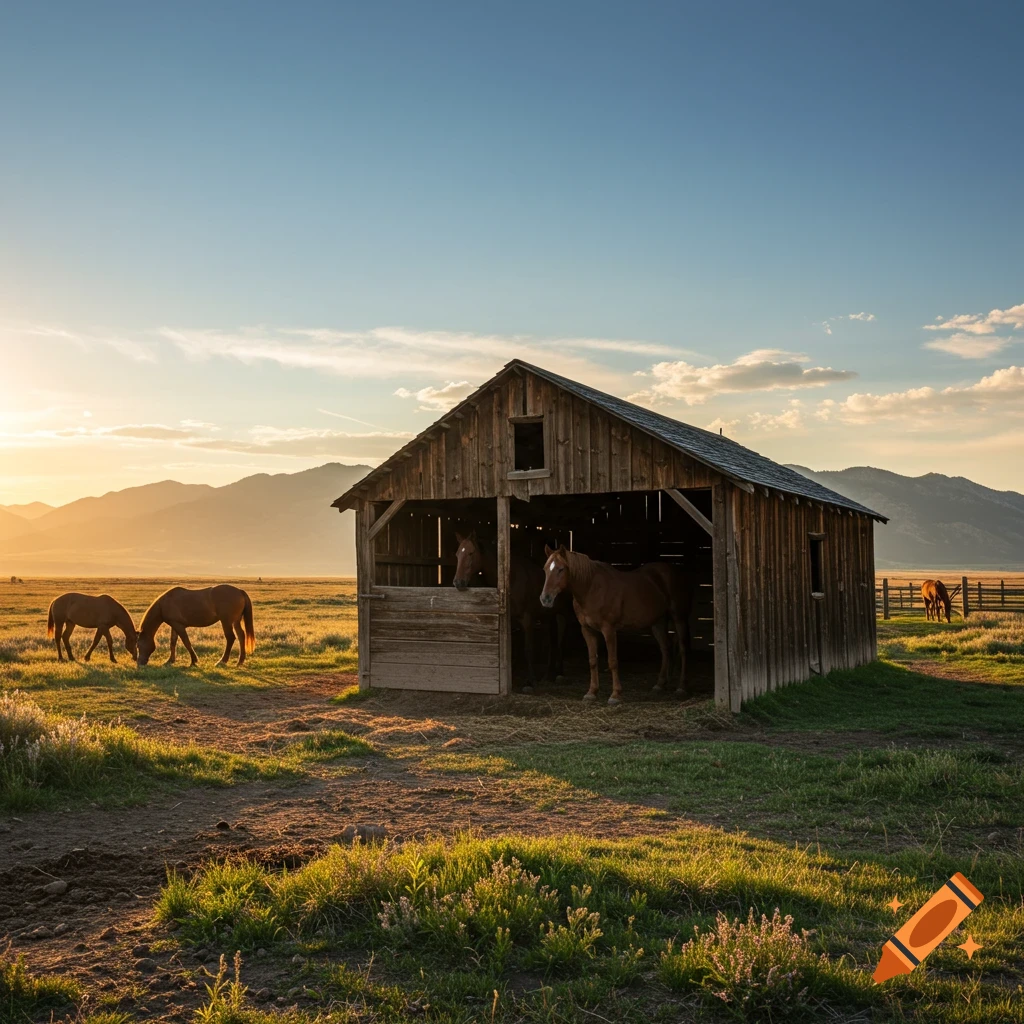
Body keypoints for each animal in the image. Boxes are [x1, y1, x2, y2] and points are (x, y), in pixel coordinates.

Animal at [452, 529, 567, 690]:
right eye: (457, 554)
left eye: (471, 553)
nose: (458, 582)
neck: (512, 578)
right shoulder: (511, 621)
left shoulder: (527, 619)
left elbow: (528, 649)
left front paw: (530, 681)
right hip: (547, 616)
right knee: (551, 641)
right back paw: (547, 675)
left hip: (561, 614)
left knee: (561, 639)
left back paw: (559, 673)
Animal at [540, 546, 692, 705]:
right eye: (545, 569)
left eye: (561, 569)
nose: (545, 599)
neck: (591, 588)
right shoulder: (587, 630)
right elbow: (592, 660)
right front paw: (591, 692)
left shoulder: (609, 630)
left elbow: (612, 661)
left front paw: (615, 695)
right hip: (658, 622)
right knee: (665, 648)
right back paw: (660, 685)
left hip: (679, 618)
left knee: (682, 649)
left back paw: (681, 688)